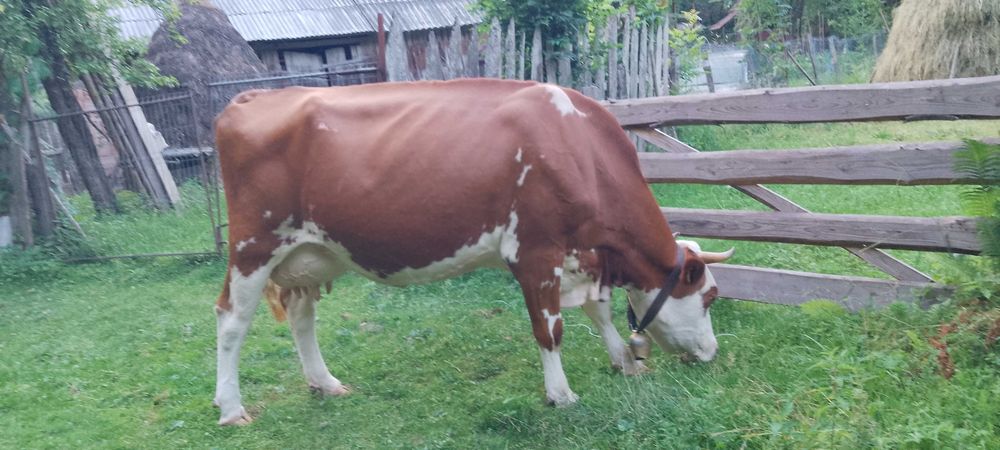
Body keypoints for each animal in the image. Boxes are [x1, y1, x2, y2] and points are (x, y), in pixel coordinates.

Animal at [212, 79, 733, 425]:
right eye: (709, 297)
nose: (712, 352)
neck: (578, 147)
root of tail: (254, 97)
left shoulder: (583, 255)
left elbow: (599, 312)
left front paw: (625, 362)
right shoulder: (534, 252)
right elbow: (550, 331)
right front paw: (560, 394)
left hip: (309, 252)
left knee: (302, 317)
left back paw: (325, 383)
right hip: (253, 246)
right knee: (231, 320)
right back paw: (232, 407)